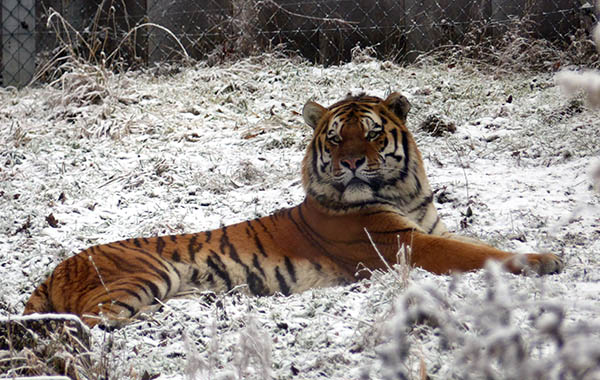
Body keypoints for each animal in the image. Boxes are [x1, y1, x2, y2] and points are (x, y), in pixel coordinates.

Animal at [22, 93, 564, 326]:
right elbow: (478, 254)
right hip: (140, 278)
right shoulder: (406, 244)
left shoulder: (429, 228)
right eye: (335, 137)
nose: (350, 163)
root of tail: (54, 270)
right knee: (83, 323)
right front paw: (548, 259)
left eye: (371, 133)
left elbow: (479, 242)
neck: (402, 191)